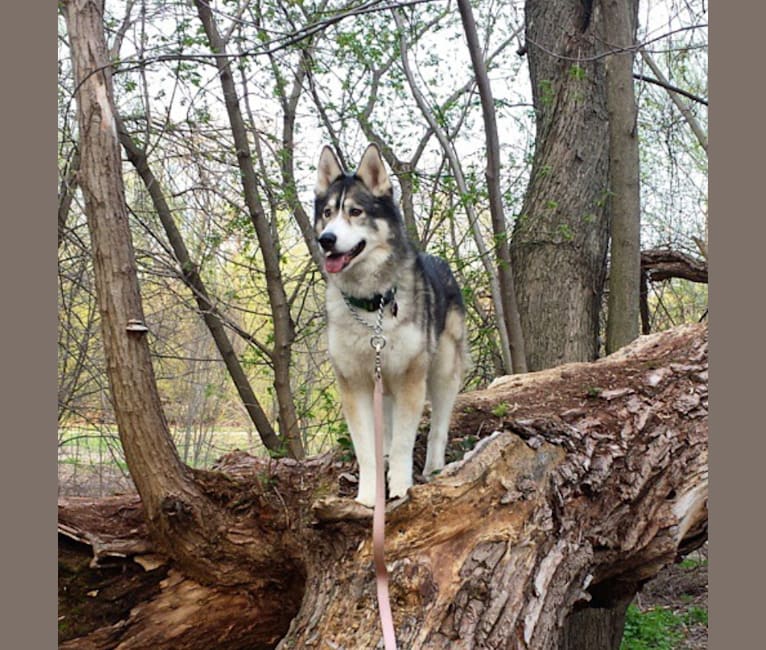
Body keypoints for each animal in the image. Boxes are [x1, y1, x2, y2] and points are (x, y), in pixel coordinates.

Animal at [312, 143, 468, 506]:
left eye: (355, 212)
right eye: (327, 212)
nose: (326, 239)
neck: (372, 305)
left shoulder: (411, 378)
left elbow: (403, 444)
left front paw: (399, 488)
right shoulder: (354, 384)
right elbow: (367, 449)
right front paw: (369, 496)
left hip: (441, 371)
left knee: (438, 426)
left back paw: (434, 467)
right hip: (381, 385)